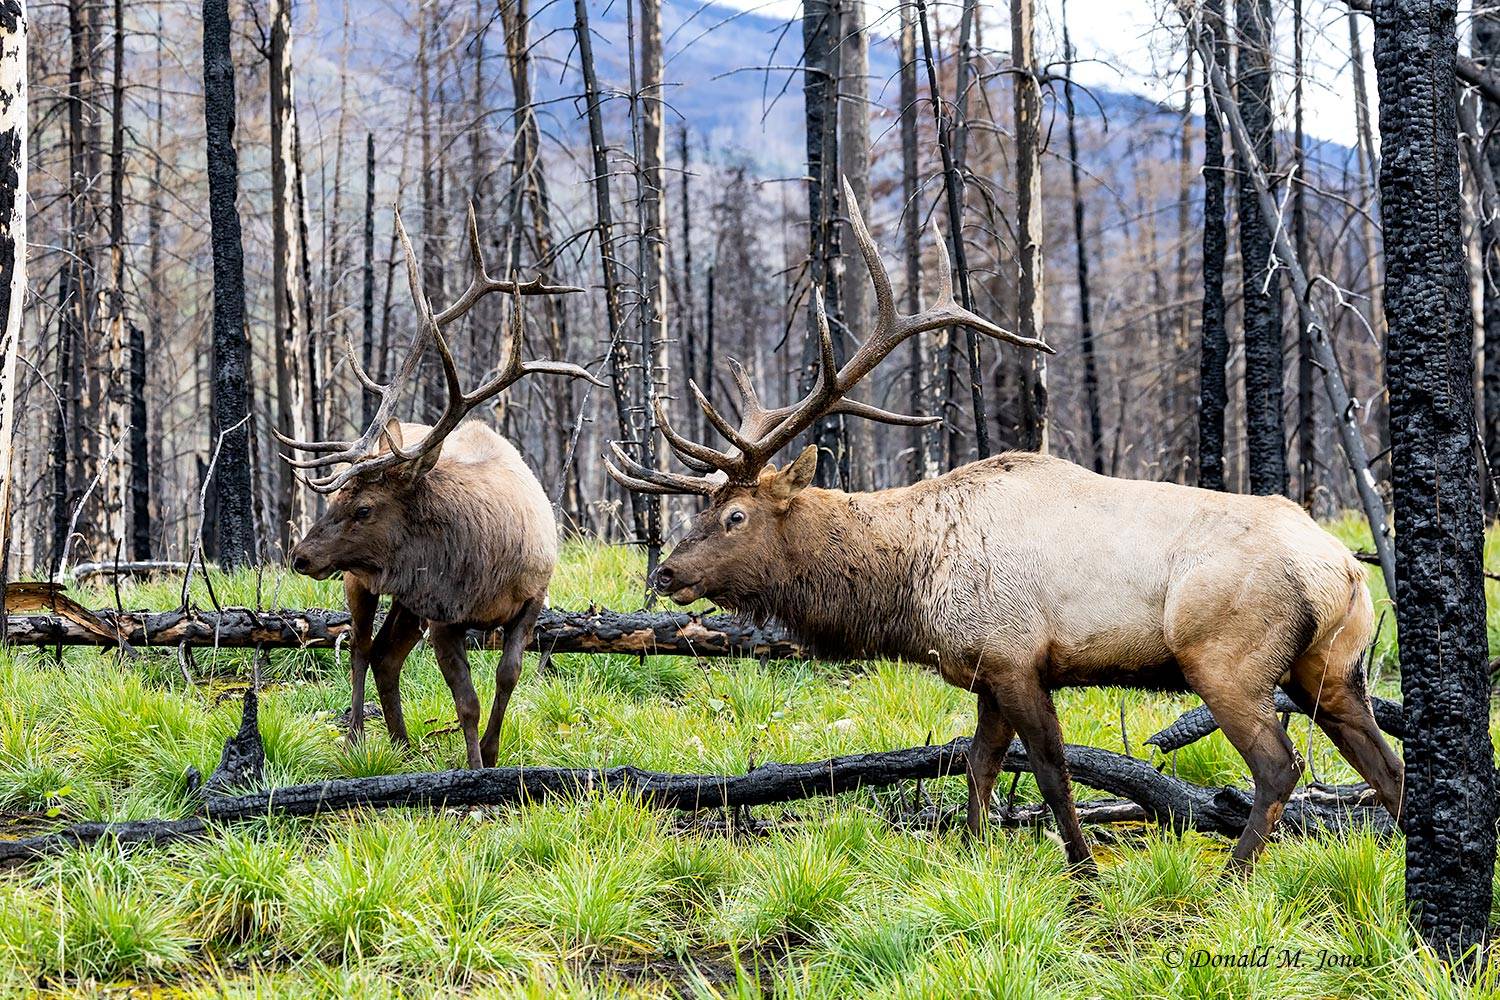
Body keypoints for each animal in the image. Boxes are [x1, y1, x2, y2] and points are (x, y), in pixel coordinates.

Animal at [278, 206, 601, 769]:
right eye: (335, 499)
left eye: (364, 509)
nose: (300, 556)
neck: (491, 567)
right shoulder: (446, 614)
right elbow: (465, 699)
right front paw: (472, 768)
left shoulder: (531, 598)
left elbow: (508, 676)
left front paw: (491, 753)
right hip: (363, 580)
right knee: (361, 646)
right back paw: (358, 735)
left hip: (408, 597)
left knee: (385, 654)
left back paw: (402, 741)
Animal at [606, 179, 1404, 872]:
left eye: (734, 514)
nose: (666, 571)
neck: (912, 587)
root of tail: (1341, 568)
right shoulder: (985, 667)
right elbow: (979, 761)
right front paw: (969, 848)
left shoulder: (1019, 656)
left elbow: (1049, 769)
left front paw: (1082, 867)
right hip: (1336, 668)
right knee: (1387, 765)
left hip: (1227, 660)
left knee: (1279, 765)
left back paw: (1233, 873)